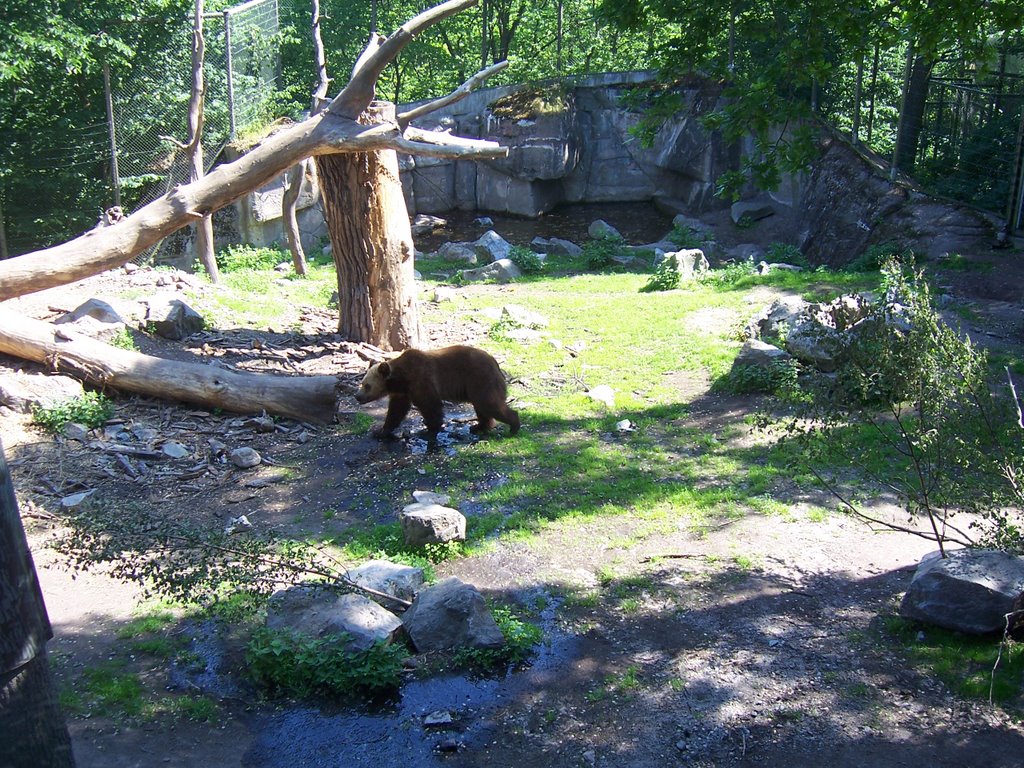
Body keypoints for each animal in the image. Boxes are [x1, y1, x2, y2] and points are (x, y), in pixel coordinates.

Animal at [356, 344, 524, 438]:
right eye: (362, 383)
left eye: (367, 385)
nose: (357, 396)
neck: (401, 379)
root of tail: (495, 362)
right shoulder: (402, 392)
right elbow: (396, 411)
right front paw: (381, 431)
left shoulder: (421, 379)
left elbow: (430, 405)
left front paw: (429, 428)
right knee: (482, 407)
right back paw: (479, 426)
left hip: (480, 379)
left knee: (489, 404)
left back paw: (514, 426)